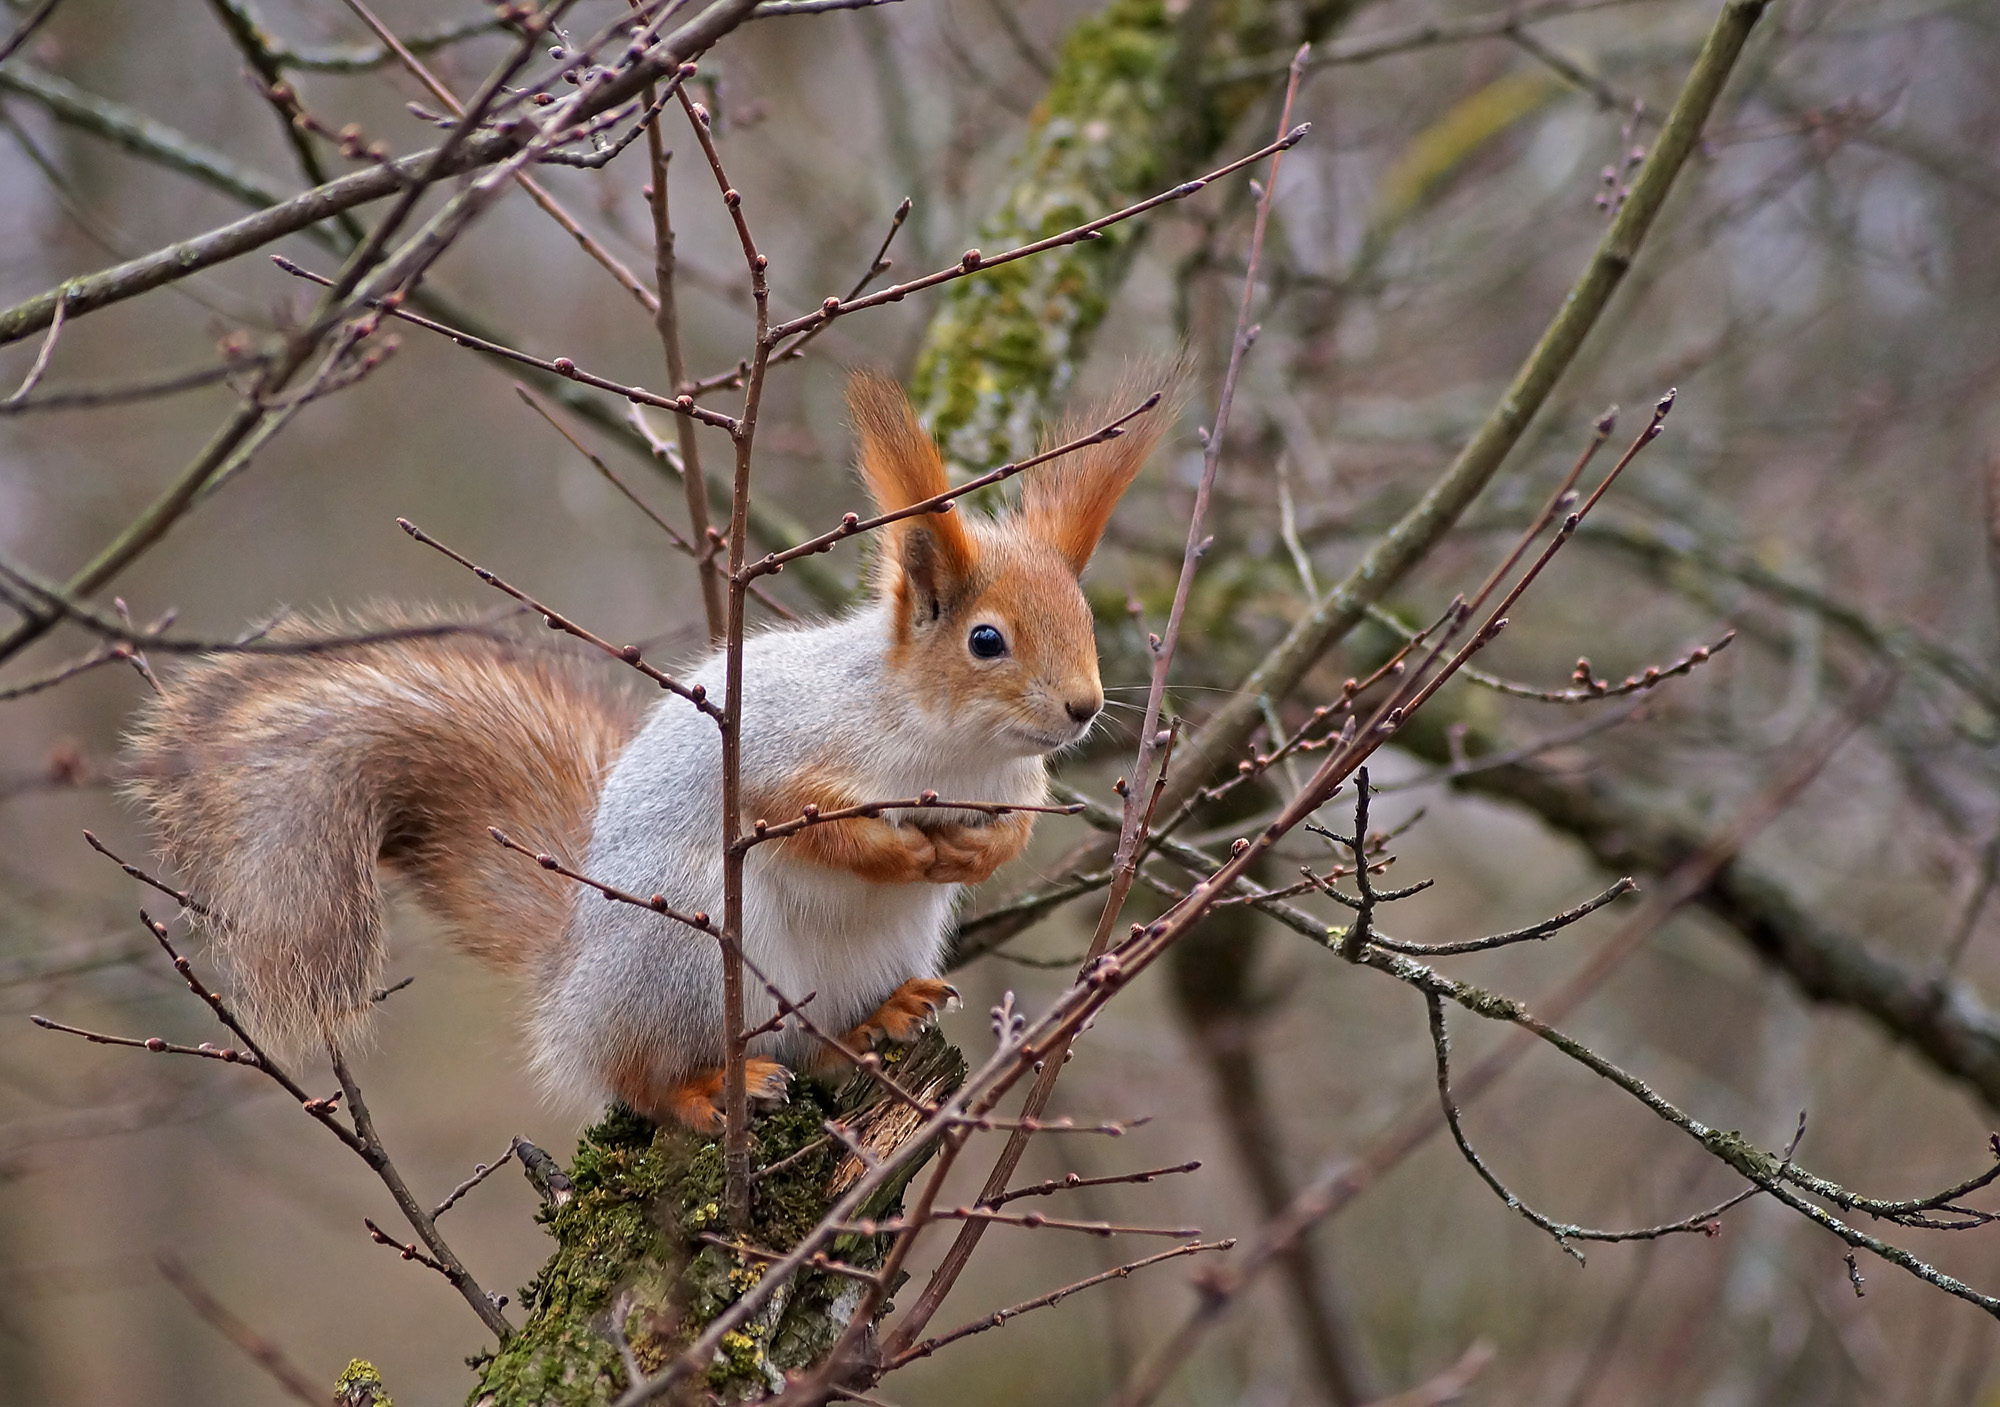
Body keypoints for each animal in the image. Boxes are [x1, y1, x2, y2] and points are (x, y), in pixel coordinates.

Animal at [125, 371, 1168, 1135]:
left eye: (1085, 620)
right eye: (986, 640)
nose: (1085, 706)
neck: (952, 748)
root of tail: (574, 993)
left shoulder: (1015, 780)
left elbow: (1015, 825)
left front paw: (979, 851)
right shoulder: (781, 747)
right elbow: (793, 820)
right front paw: (897, 848)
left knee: (818, 1046)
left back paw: (878, 1020)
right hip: (688, 950)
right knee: (639, 1080)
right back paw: (708, 1091)